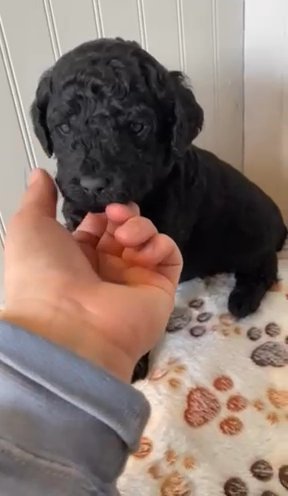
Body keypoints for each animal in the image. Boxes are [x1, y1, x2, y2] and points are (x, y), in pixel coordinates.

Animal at [31, 38, 286, 378]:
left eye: (137, 126)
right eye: (63, 127)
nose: (93, 185)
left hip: (249, 237)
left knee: (265, 265)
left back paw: (242, 299)